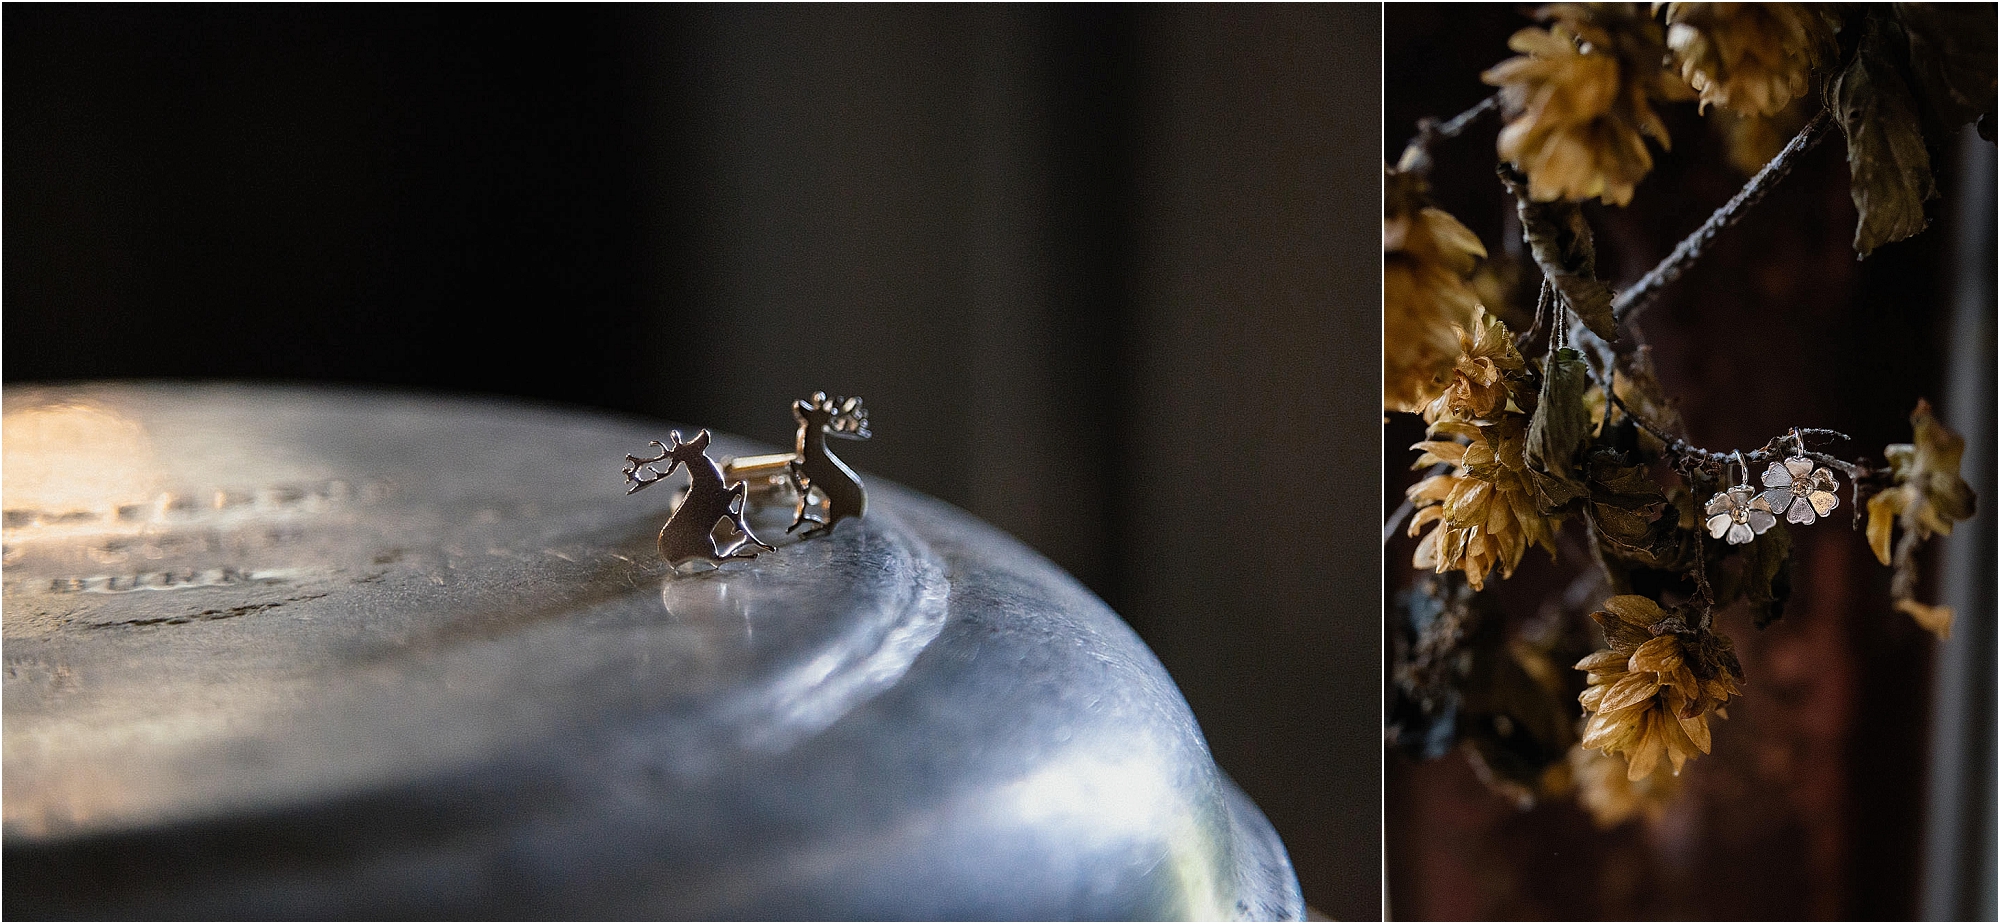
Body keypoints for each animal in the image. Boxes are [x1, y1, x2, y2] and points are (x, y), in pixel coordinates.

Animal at [623, 429, 774, 569]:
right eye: (690, 447)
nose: (704, 432)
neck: (711, 482)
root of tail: (671, 560)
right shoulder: (723, 498)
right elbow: (742, 488)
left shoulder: (725, 503)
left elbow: (741, 492)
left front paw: (763, 545)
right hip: (707, 544)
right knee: (717, 560)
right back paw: (748, 554)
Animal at [787, 392, 870, 536]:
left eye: (814, 414)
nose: (799, 404)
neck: (811, 453)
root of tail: (859, 512)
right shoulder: (808, 471)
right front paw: (802, 488)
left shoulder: (810, 469)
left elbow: (793, 464)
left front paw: (800, 487)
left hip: (837, 505)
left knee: (831, 525)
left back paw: (809, 530)